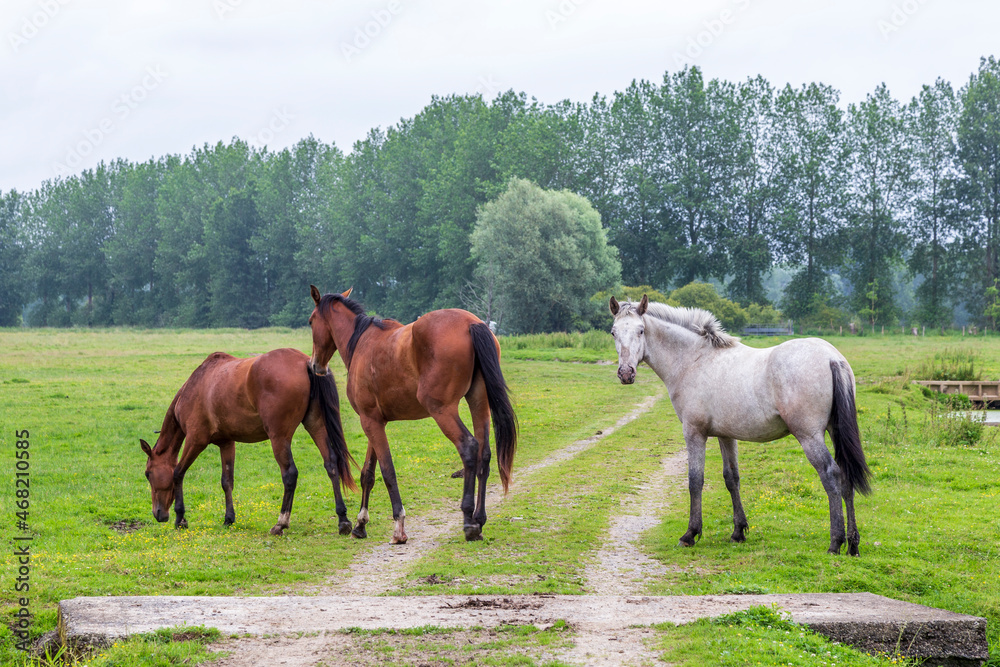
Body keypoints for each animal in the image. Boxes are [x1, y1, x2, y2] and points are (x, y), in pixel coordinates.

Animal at [141, 350, 358, 536]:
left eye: (148, 474)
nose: (158, 514)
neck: (196, 386)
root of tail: (305, 362)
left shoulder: (196, 440)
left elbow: (178, 473)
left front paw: (180, 519)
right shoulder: (227, 443)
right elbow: (226, 481)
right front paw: (229, 518)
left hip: (279, 438)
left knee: (290, 474)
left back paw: (281, 523)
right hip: (316, 425)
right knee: (331, 464)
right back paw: (343, 519)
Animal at [308, 286, 520, 544]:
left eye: (311, 321)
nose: (315, 365)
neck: (362, 342)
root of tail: (472, 323)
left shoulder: (370, 422)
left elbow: (387, 471)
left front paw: (398, 526)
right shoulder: (374, 422)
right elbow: (368, 474)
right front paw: (360, 524)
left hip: (442, 410)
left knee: (469, 447)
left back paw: (469, 521)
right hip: (479, 402)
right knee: (485, 454)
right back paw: (479, 519)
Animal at [604, 294, 872, 556]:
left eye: (640, 331)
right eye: (613, 332)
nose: (626, 373)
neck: (694, 360)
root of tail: (832, 357)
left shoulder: (694, 433)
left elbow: (695, 480)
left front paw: (690, 534)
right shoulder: (726, 435)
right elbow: (731, 478)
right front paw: (738, 531)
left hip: (809, 436)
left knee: (831, 474)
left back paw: (835, 543)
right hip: (834, 432)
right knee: (846, 477)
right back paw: (853, 544)